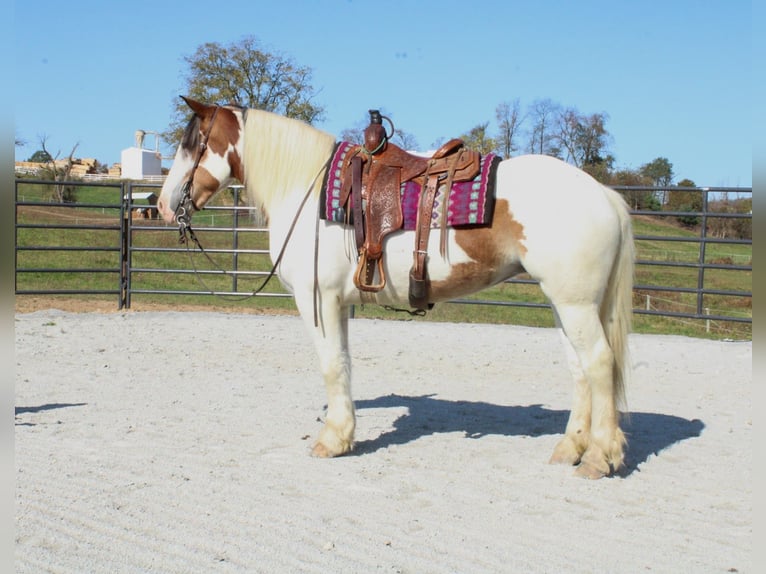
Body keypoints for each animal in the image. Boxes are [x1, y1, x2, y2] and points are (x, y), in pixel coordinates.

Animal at [156, 97, 636, 480]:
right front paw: (344, 431)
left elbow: (331, 365)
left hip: (575, 305)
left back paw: (600, 457)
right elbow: (344, 364)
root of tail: (603, 194)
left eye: (190, 144)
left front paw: (332, 440)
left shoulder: (318, 301)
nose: (161, 205)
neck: (305, 189)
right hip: (566, 304)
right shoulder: (338, 303)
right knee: (579, 370)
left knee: (598, 363)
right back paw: (570, 448)